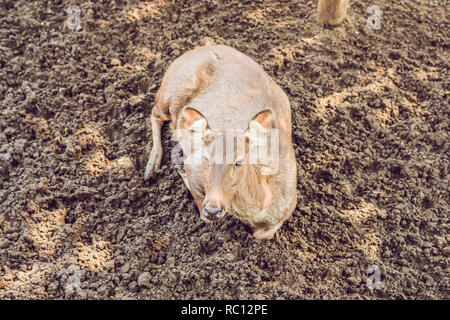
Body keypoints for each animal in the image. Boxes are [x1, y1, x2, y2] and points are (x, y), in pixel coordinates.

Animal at [145, 45, 298, 240]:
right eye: (205, 159)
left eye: (239, 162)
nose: (213, 209)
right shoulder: (194, 167)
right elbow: (204, 215)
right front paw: (180, 166)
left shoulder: (290, 204)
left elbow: (262, 234)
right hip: (171, 93)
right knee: (155, 112)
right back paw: (152, 166)